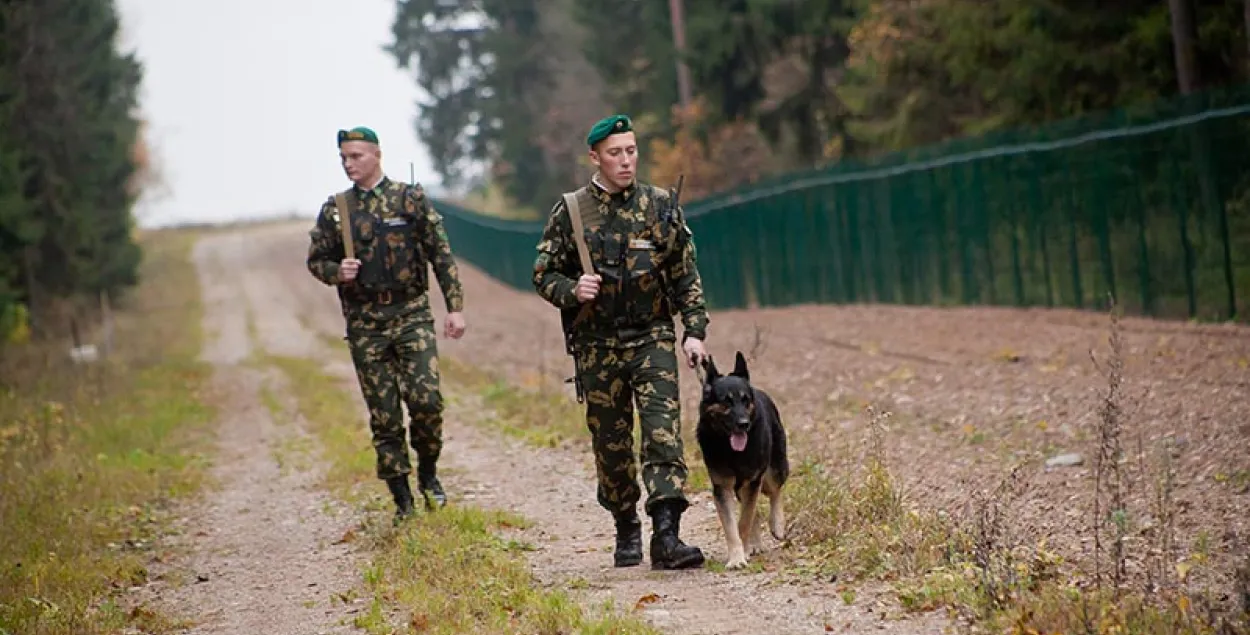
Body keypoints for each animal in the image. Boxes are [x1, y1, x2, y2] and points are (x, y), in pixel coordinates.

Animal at [695, 352, 790, 570]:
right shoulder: (723, 488)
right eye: (726, 402)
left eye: (745, 400)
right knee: (755, 510)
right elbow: (732, 527)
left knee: (775, 492)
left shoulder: (754, 481)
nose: (744, 424)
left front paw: (743, 551)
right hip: (742, 488)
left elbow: (744, 521)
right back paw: (754, 544)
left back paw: (777, 525)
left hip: (773, 471)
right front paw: (737, 557)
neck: (732, 451)